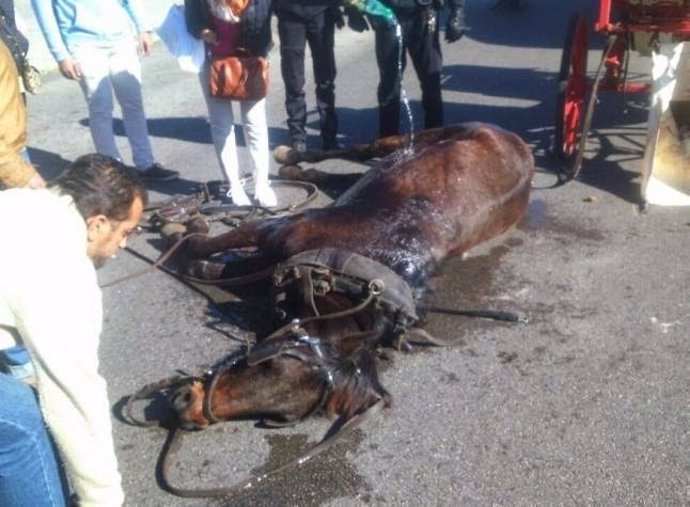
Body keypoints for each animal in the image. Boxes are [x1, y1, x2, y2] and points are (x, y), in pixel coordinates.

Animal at [165, 123, 532, 432]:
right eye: (271, 363)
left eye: (282, 416)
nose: (188, 409)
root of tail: (516, 141)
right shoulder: (276, 229)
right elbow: (198, 247)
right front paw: (183, 225)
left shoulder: (277, 259)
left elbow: (210, 268)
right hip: (428, 135)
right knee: (360, 150)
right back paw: (289, 156)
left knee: (345, 174)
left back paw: (296, 170)